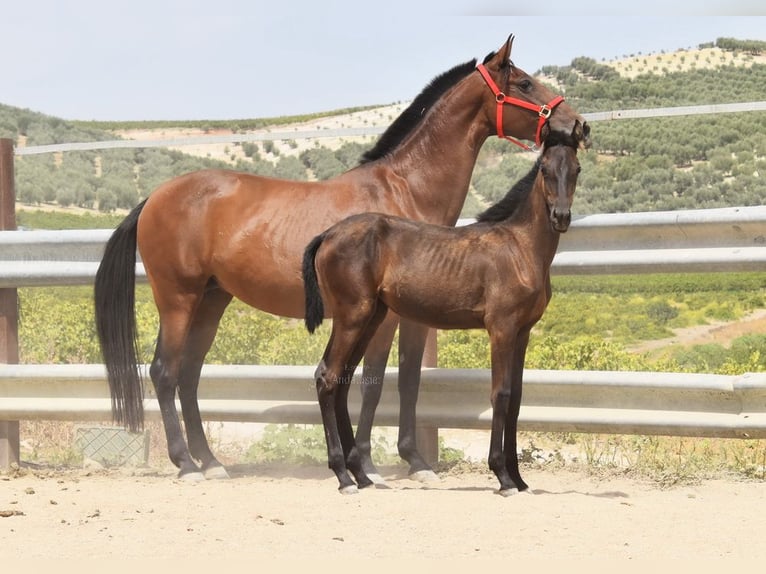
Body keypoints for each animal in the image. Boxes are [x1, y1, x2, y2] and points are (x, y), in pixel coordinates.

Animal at [302, 130, 583, 494]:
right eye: (545, 169)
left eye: (576, 169)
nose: (561, 217)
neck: (519, 248)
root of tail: (328, 234)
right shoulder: (501, 329)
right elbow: (501, 394)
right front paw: (503, 476)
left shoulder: (522, 333)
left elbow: (517, 399)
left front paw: (519, 479)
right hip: (352, 318)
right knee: (327, 377)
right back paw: (342, 475)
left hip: (369, 319)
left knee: (343, 381)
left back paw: (361, 476)